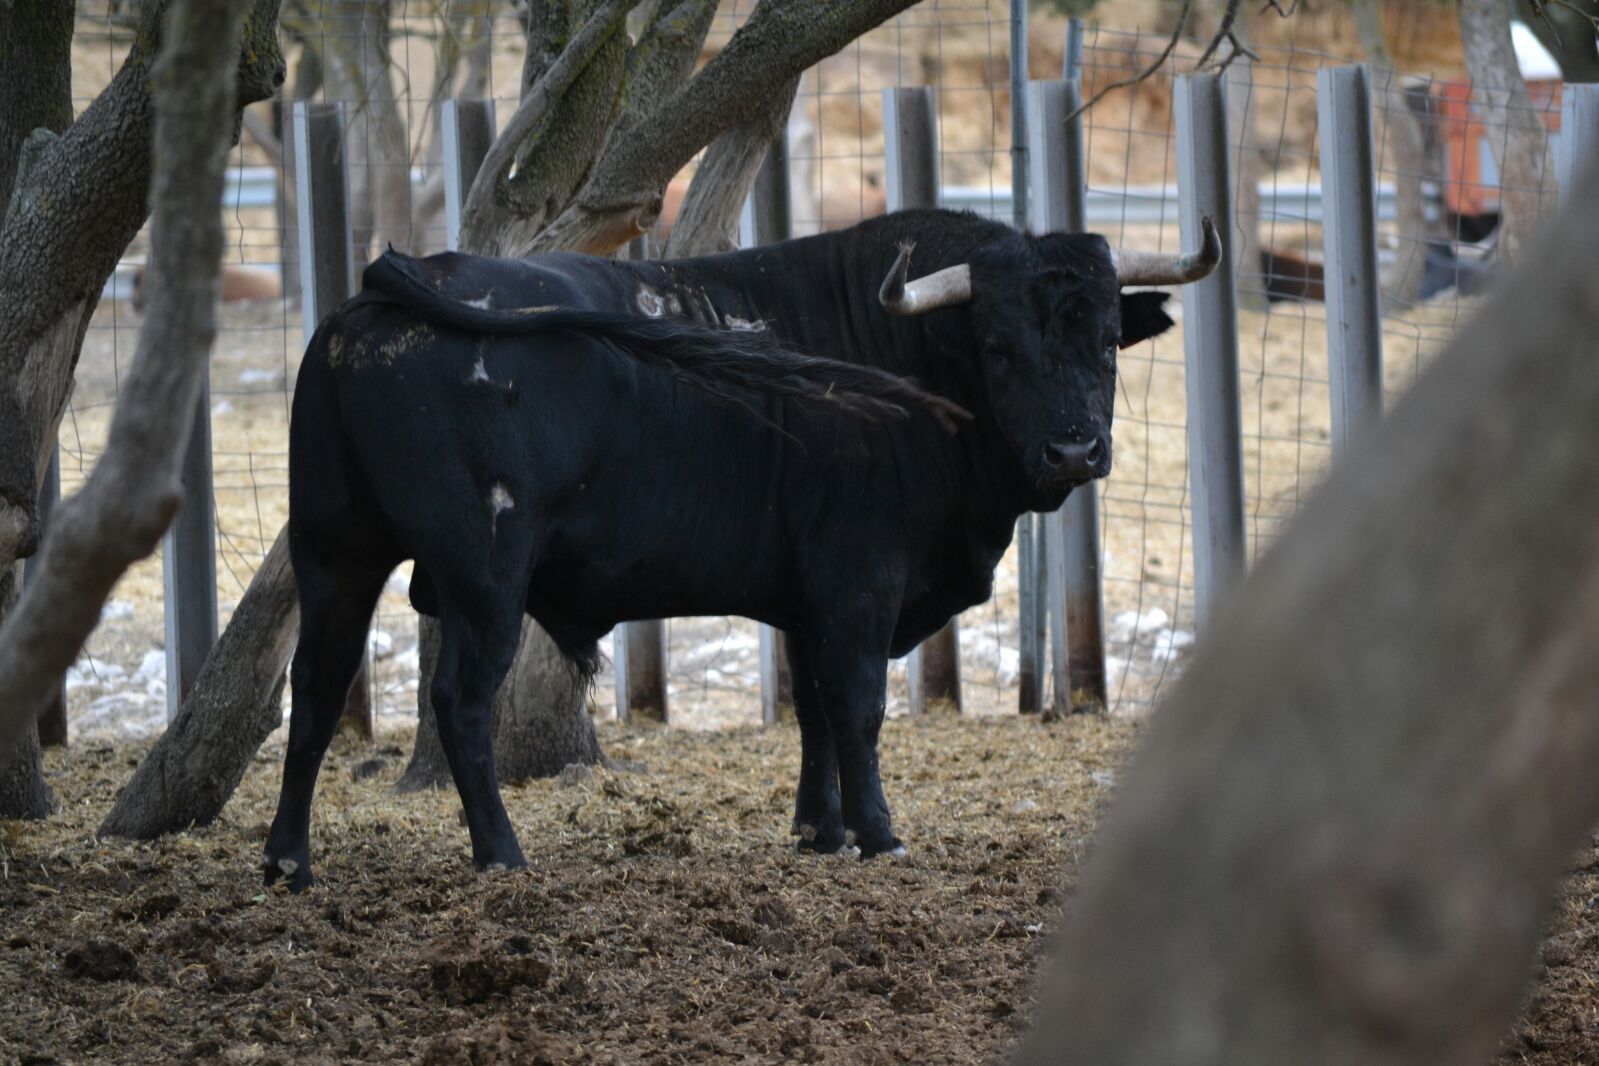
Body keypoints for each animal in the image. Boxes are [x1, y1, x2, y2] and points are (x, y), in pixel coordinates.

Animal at [262, 204, 1215, 888]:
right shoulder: (859, 583)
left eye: (1106, 342)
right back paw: (501, 854)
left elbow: (815, 710)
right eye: (998, 346)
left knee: (314, 691)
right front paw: (878, 833)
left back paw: (288, 863)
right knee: (458, 702)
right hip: (483, 575)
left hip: (334, 553)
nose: (1074, 450)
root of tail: (388, 287)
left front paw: (819, 830)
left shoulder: (805, 597)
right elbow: (858, 707)